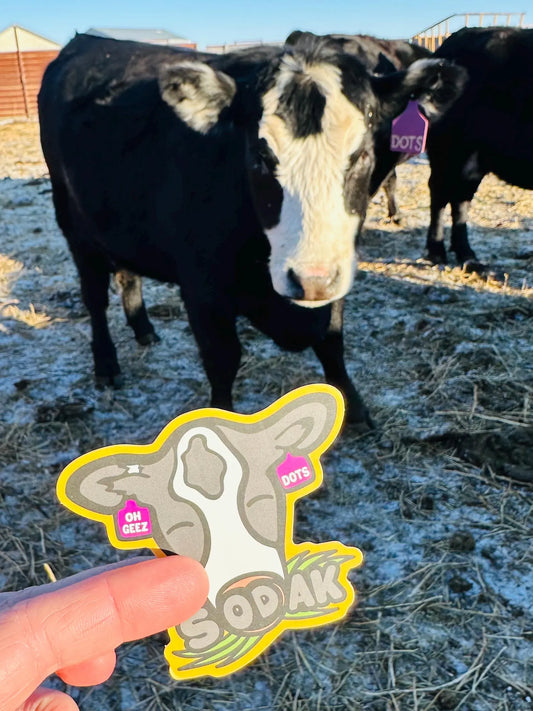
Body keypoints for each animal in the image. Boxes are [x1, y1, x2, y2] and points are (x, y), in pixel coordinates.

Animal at [38, 32, 465, 428]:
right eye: (261, 156)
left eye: (361, 154)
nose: (311, 279)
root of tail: (87, 41)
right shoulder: (202, 287)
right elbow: (223, 360)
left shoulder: (338, 270)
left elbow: (332, 340)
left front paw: (356, 410)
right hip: (72, 221)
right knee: (94, 297)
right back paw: (106, 364)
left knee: (127, 273)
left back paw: (143, 329)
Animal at [424, 26, 533, 268]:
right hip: (449, 147)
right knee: (440, 193)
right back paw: (437, 252)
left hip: (473, 157)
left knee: (460, 197)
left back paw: (467, 256)